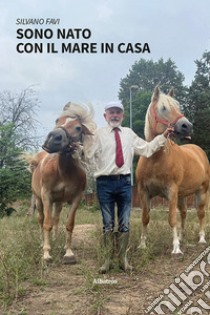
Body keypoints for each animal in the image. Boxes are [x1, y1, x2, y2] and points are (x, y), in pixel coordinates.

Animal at [25, 102, 96, 262]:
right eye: (57, 120)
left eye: (78, 128)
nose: (53, 139)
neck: (63, 171)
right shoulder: (46, 196)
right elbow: (47, 223)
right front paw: (46, 253)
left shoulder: (76, 198)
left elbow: (69, 224)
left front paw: (68, 253)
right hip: (39, 200)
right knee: (41, 219)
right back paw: (42, 242)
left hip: (58, 202)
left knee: (56, 219)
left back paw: (56, 240)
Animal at [135, 87, 209, 256]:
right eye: (163, 108)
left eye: (178, 106)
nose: (187, 126)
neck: (155, 159)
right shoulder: (144, 191)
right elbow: (145, 217)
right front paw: (142, 245)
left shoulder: (171, 191)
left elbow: (171, 219)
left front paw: (176, 248)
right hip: (181, 195)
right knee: (184, 213)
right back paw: (182, 237)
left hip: (202, 191)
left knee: (200, 213)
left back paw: (201, 239)